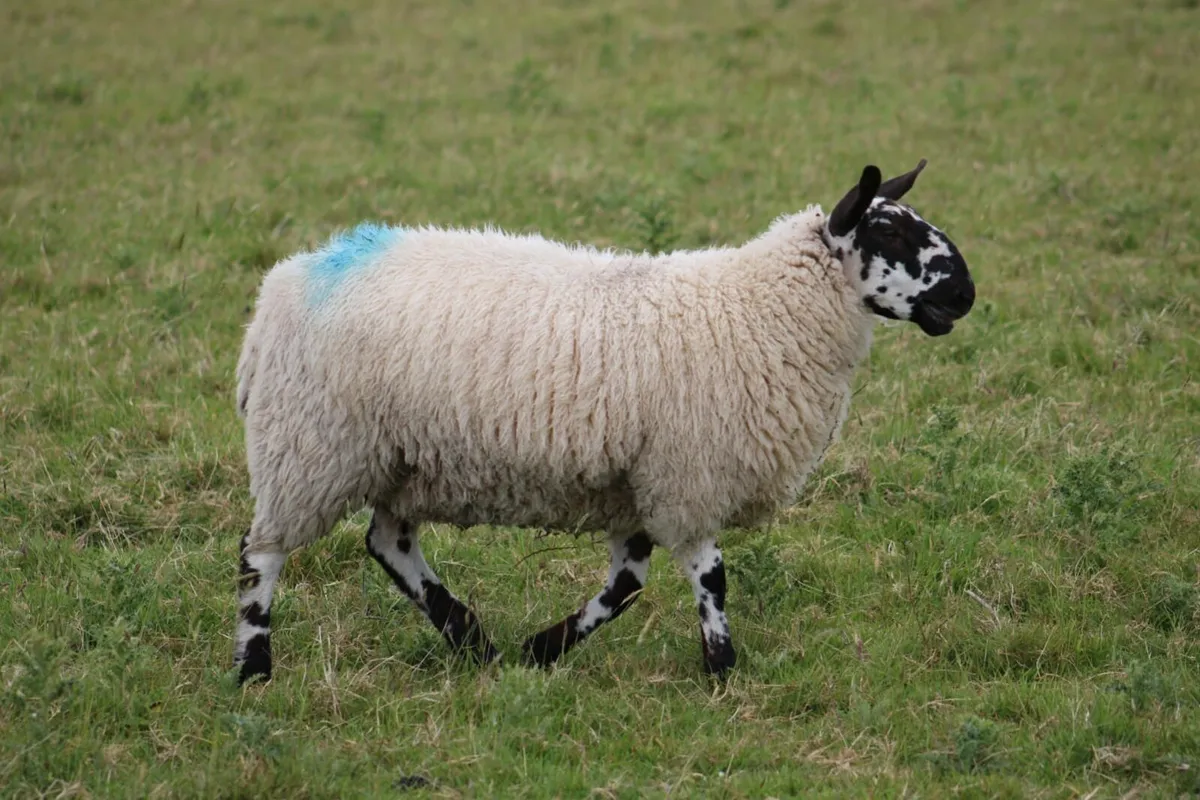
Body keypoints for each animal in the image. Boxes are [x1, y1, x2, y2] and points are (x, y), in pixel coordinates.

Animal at [232, 160, 975, 684]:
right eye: (890, 233)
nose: (966, 294)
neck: (758, 308)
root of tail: (283, 285)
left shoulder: (643, 481)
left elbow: (626, 586)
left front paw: (544, 649)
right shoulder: (688, 474)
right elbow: (709, 577)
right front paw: (722, 670)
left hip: (399, 457)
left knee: (387, 543)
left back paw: (472, 639)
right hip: (310, 446)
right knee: (261, 553)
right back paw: (253, 670)